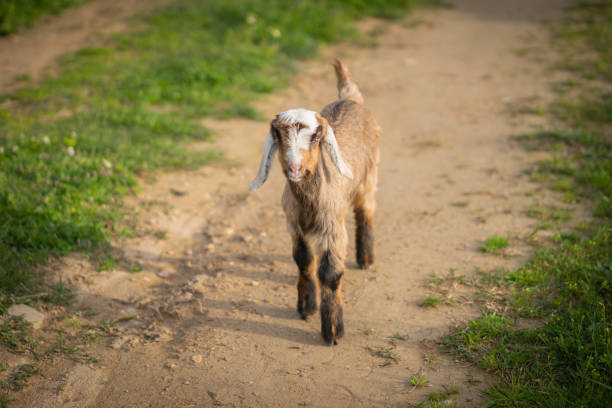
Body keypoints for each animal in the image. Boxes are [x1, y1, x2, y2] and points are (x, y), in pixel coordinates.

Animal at [251, 57, 380, 344]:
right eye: (279, 136)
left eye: (317, 137)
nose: (295, 169)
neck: (310, 202)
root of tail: (351, 98)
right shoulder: (292, 223)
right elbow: (303, 259)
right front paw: (306, 306)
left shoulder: (332, 227)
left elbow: (330, 274)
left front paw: (332, 330)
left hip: (370, 174)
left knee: (366, 211)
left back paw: (366, 258)